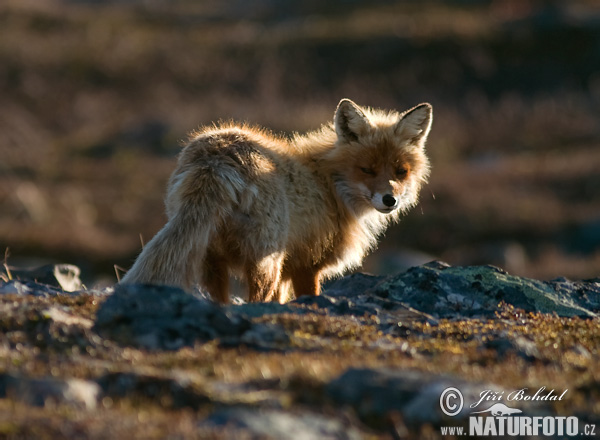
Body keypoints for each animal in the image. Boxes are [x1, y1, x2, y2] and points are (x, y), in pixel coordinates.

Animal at [120, 99, 432, 302]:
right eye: (366, 169)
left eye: (401, 171)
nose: (390, 200)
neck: (328, 184)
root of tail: (218, 157)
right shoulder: (307, 266)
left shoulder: (286, 274)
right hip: (265, 263)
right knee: (254, 302)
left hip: (213, 259)